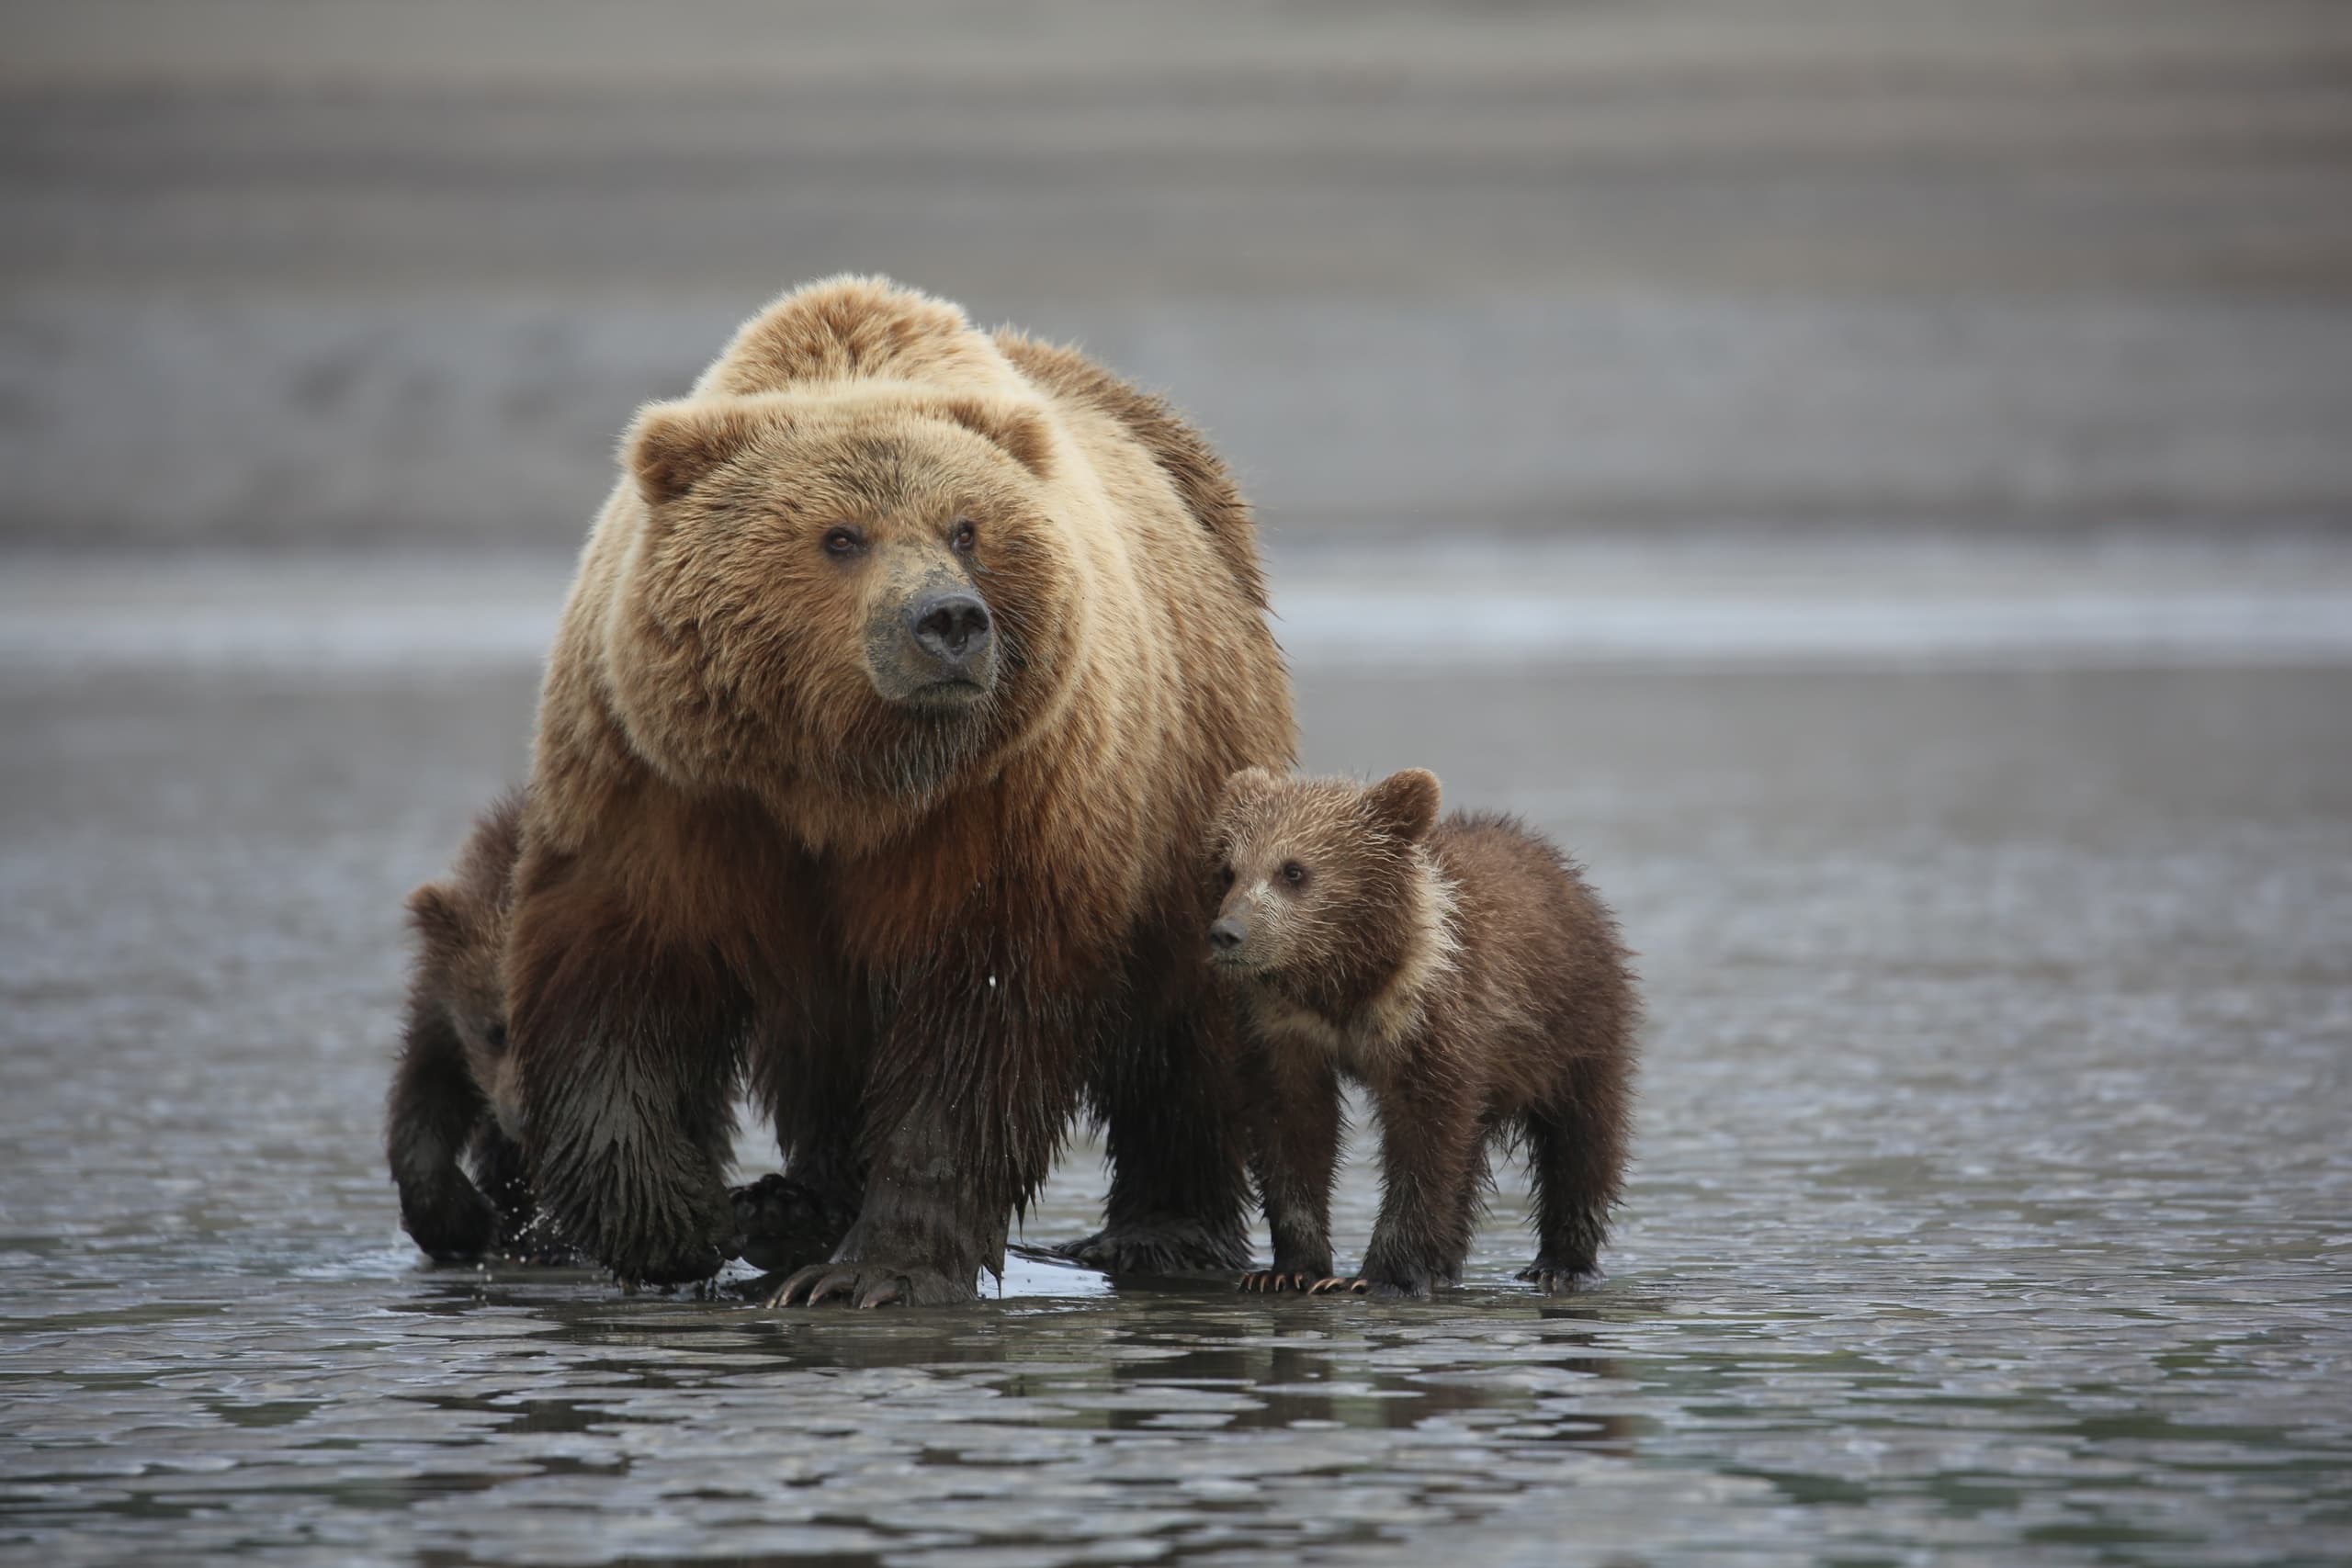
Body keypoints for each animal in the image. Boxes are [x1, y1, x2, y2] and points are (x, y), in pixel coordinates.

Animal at [506, 275, 1296, 1304]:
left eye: (967, 528)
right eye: (841, 536)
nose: (949, 620)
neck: (842, 773)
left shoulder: (1005, 798)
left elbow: (978, 1025)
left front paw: (874, 1270)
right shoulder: (665, 781)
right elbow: (613, 981)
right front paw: (680, 1221)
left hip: (1190, 773)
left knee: (1182, 1029)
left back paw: (1163, 1234)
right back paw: (795, 1204)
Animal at [1206, 767, 1639, 1297]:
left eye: (1293, 870)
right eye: (1229, 870)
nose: (1229, 933)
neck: (1345, 983)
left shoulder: (1431, 1017)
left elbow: (1425, 1141)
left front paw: (1383, 1275)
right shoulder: (1283, 1030)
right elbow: (1291, 1127)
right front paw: (1287, 1270)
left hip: (1575, 1025)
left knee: (1583, 1137)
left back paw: (1561, 1263)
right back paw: (1446, 1264)